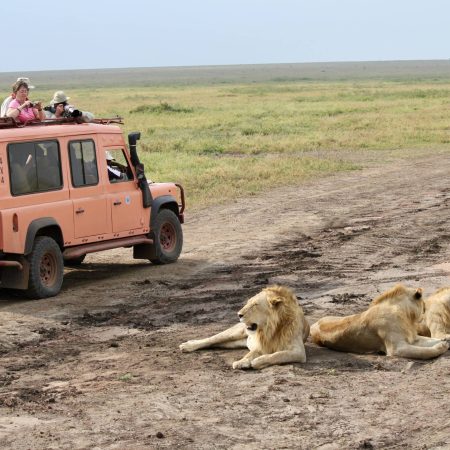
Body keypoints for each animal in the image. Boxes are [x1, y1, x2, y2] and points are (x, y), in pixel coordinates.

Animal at [179, 284, 310, 370]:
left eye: (255, 305)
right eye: (248, 303)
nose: (239, 314)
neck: (269, 329)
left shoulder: (298, 352)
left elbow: (277, 355)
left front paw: (257, 361)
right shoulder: (260, 344)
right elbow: (250, 354)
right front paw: (242, 362)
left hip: (232, 343)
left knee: (213, 344)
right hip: (233, 333)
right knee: (210, 339)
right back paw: (187, 345)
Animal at [312, 284, 448, 360]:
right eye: (423, 304)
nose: (425, 310)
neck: (404, 315)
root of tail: (314, 323)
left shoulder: (413, 339)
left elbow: (430, 341)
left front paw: (445, 341)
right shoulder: (397, 348)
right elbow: (424, 352)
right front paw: (442, 346)